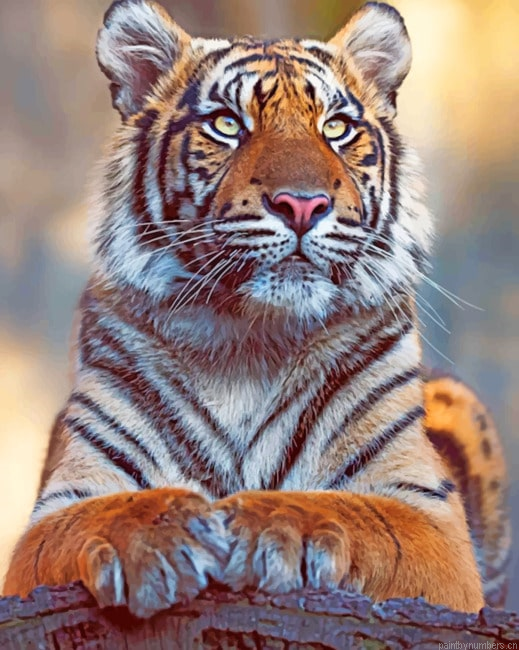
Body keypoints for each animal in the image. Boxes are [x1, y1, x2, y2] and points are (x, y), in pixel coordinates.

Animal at [3, 0, 510, 617]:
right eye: (227, 124)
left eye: (336, 128)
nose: (303, 204)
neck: (248, 341)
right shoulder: (58, 507)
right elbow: (105, 512)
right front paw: (164, 532)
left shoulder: (427, 515)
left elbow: (347, 509)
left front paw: (261, 520)